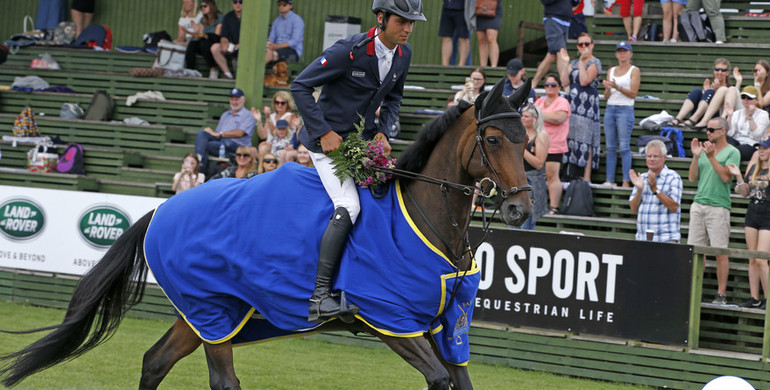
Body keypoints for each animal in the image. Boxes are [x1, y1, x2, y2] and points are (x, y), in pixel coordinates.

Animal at [0, 77, 532, 388]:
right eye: (492, 139)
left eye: (527, 139)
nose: (521, 207)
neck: (426, 219)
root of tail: (163, 208)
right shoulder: (393, 320)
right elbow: (439, 380)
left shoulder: (449, 326)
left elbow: (458, 381)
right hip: (210, 308)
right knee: (221, 381)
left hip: (209, 311)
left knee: (154, 361)